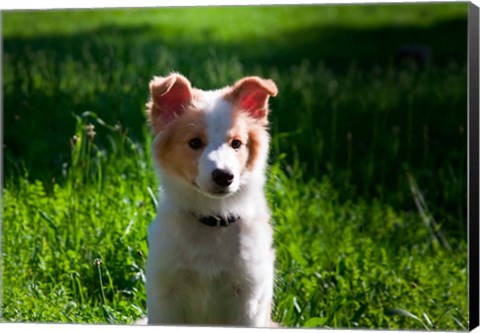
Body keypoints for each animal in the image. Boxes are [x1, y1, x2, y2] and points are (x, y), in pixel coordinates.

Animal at [144, 72, 276, 324]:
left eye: (237, 143)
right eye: (194, 142)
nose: (224, 176)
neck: (213, 217)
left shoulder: (248, 298)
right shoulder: (166, 293)